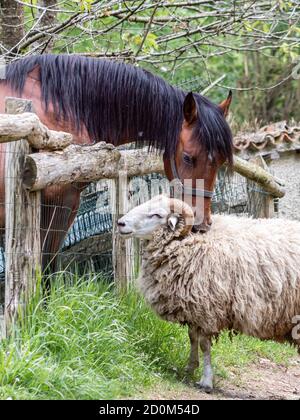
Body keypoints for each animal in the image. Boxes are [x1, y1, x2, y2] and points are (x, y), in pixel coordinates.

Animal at [0, 55, 232, 272]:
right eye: (187, 157)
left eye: (221, 161)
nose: (202, 225)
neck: (59, 109)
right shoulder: (53, 204)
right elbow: (45, 265)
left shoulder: (69, 206)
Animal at [117, 195, 300, 392]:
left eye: (157, 215)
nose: (120, 223)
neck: (188, 242)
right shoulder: (193, 308)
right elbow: (192, 338)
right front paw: (190, 368)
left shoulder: (207, 309)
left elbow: (205, 345)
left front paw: (206, 380)